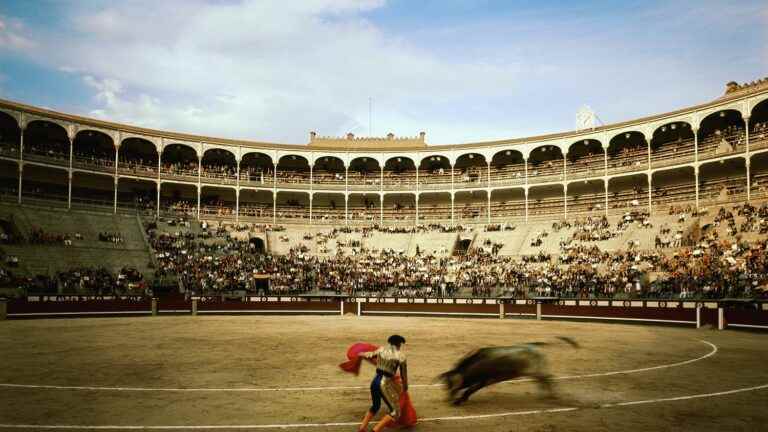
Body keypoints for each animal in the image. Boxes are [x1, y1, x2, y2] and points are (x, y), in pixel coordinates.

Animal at [436, 336, 580, 404]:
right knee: (543, 381)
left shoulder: (484, 381)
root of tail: (534, 346)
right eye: (445, 385)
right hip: (536, 372)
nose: (447, 400)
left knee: (548, 379)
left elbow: (469, 390)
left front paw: (459, 401)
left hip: (538, 371)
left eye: (452, 386)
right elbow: (469, 390)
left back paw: (552, 396)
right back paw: (544, 395)